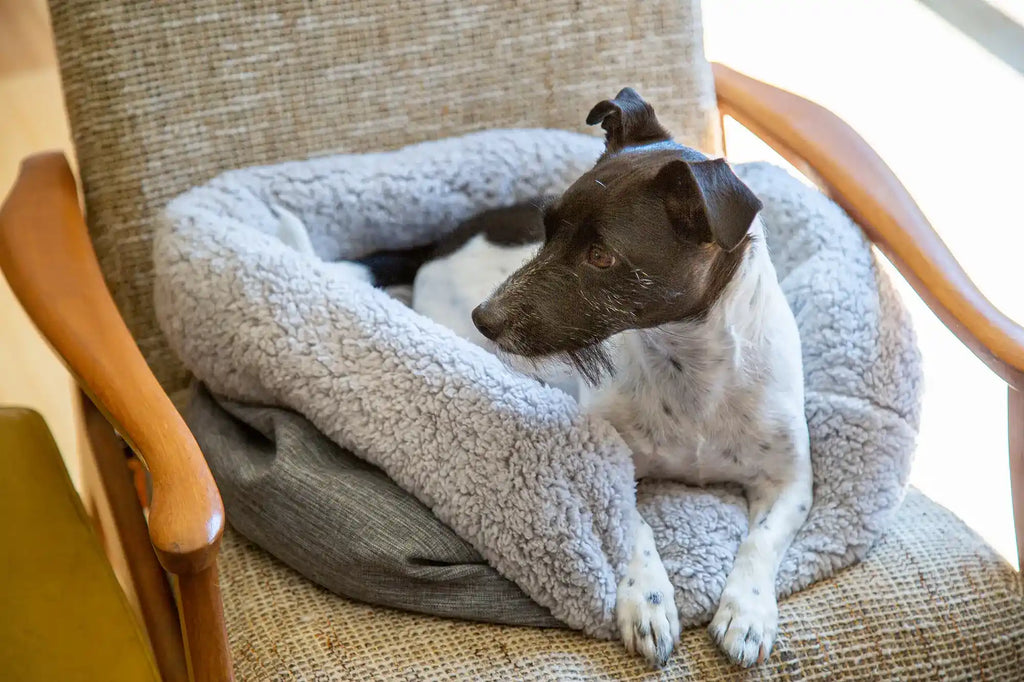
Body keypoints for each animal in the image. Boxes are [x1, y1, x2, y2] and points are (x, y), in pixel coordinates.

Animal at [411, 87, 811, 667]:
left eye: (601, 256)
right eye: (545, 231)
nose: (484, 318)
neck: (686, 364)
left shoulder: (790, 482)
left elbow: (759, 542)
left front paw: (748, 611)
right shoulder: (613, 467)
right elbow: (634, 530)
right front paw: (648, 601)